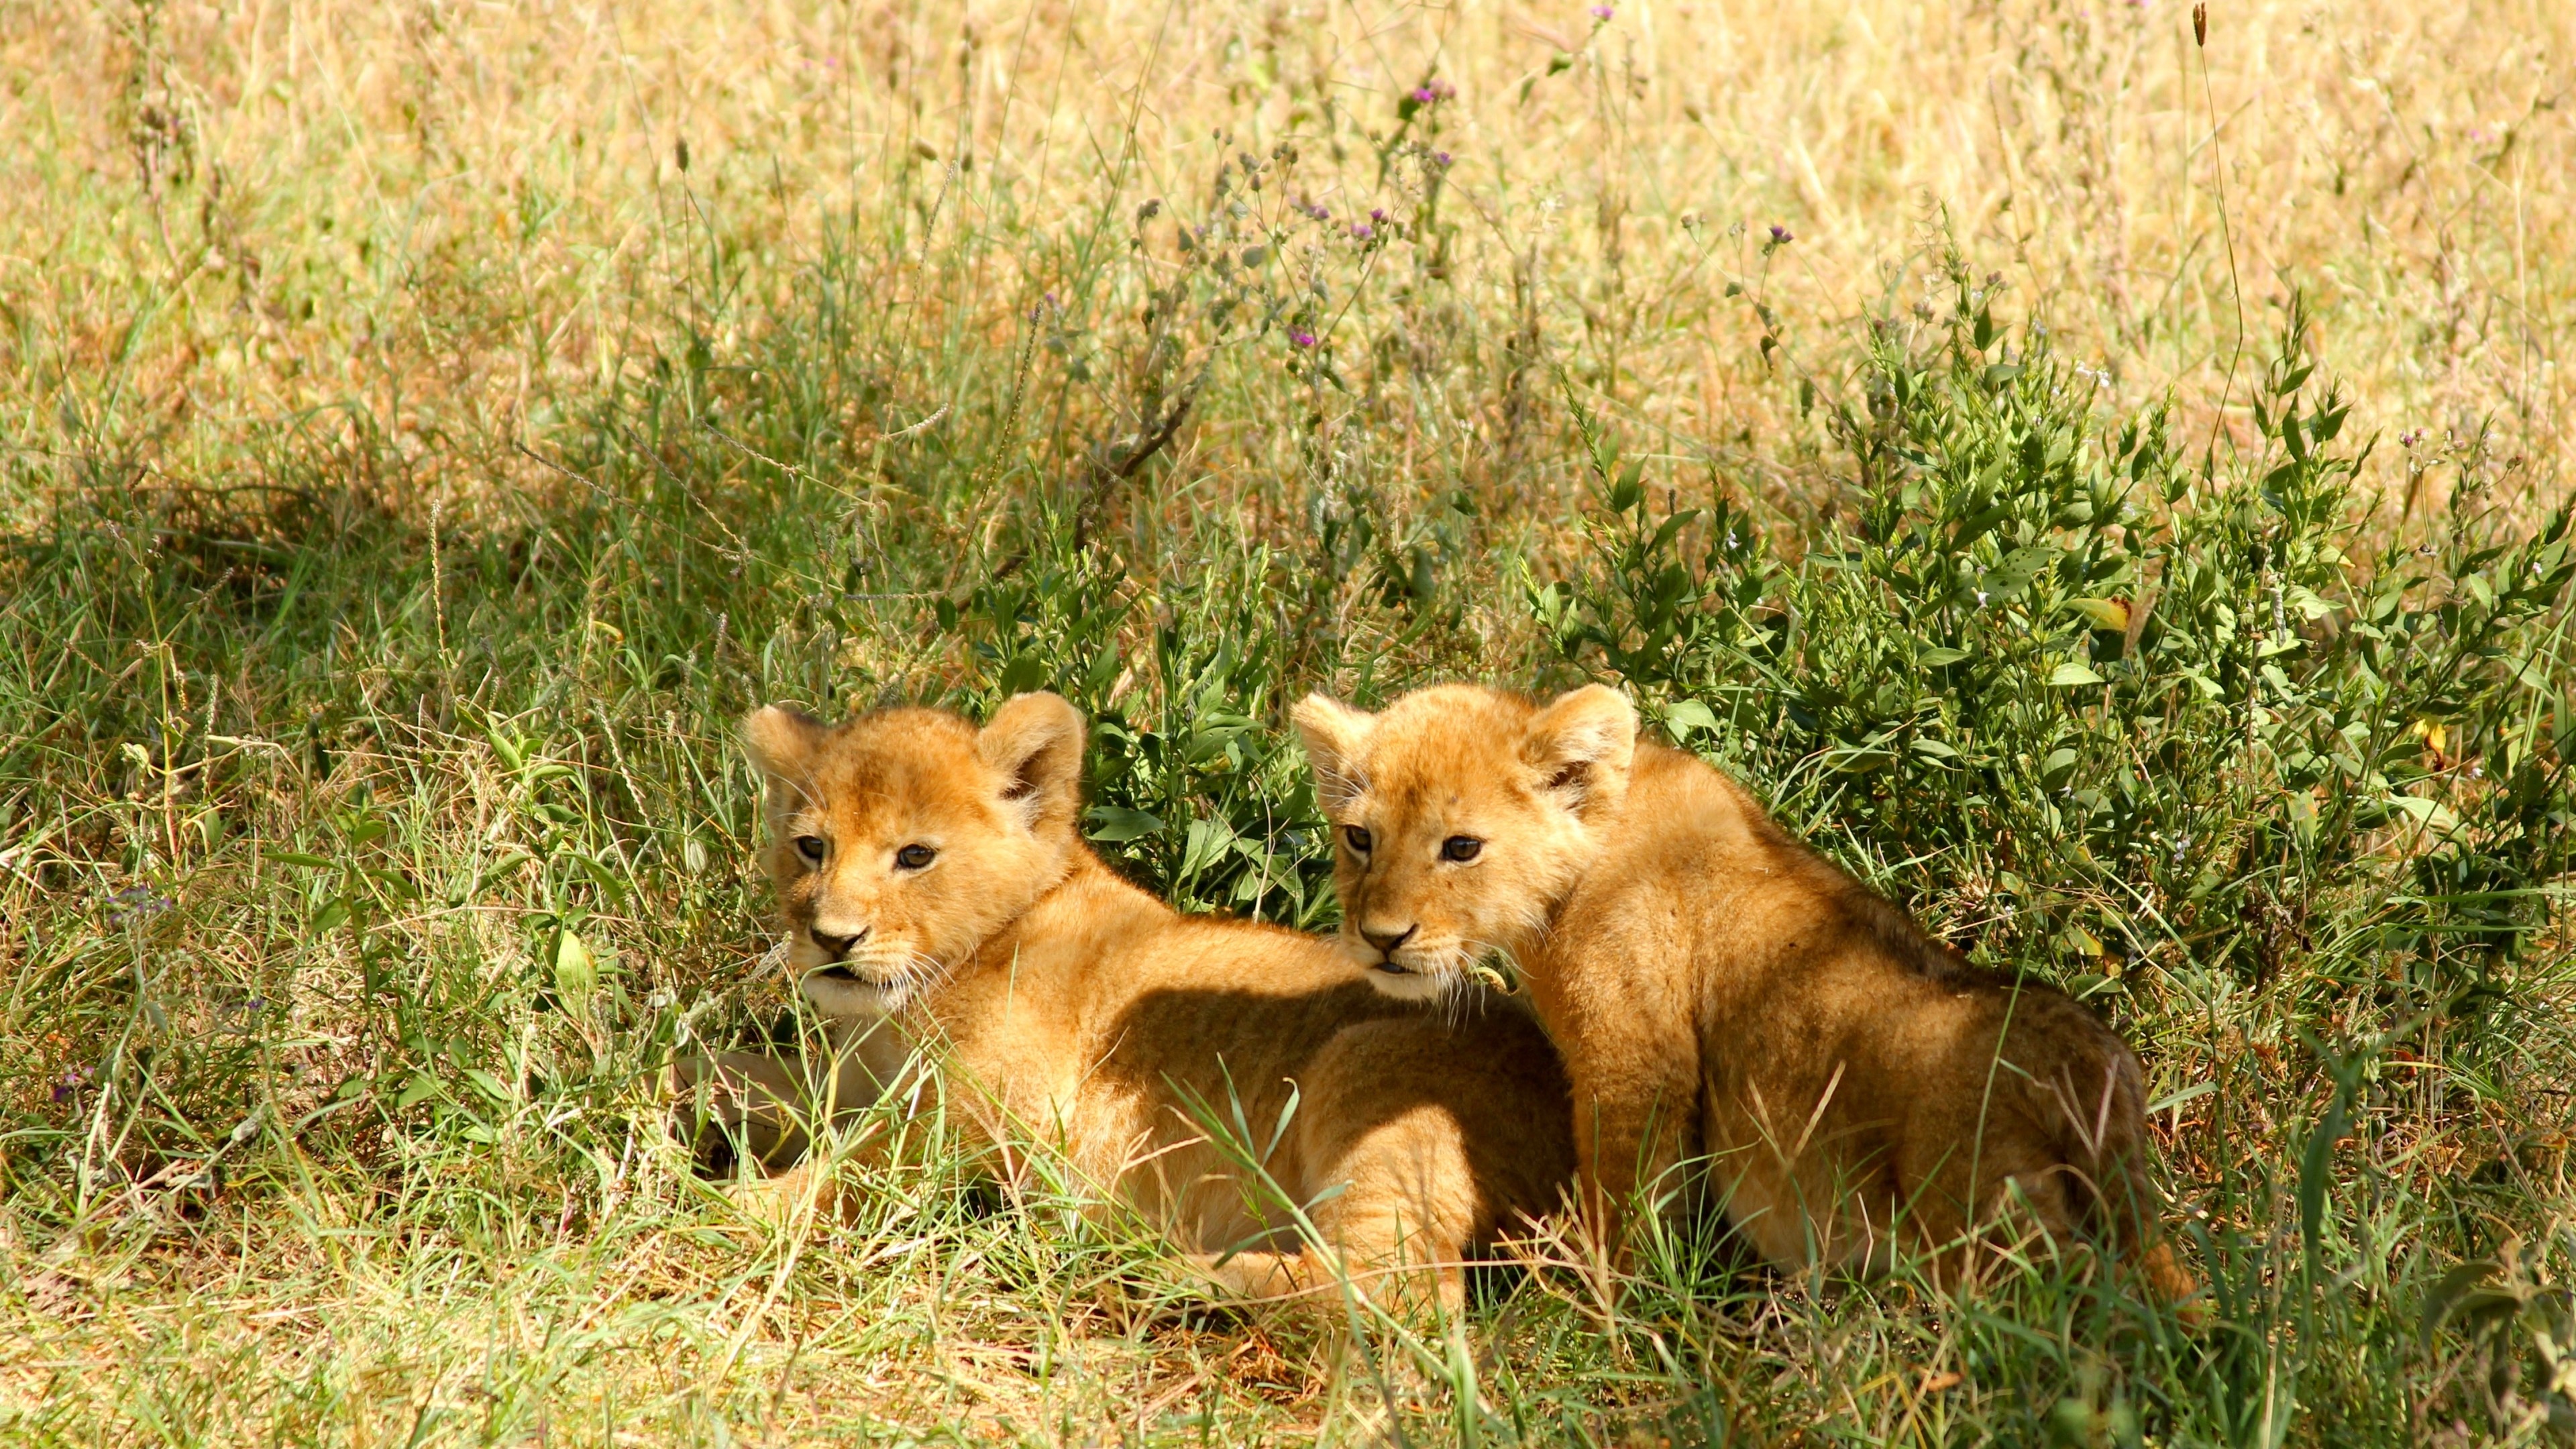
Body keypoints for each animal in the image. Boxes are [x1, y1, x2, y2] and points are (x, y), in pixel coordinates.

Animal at [676, 691, 1575, 1314]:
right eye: (811, 847)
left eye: (915, 857)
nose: (831, 939)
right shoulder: (862, 1086)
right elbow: (717, 1070)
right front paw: (663, 1102)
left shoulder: (993, 1127)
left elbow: (850, 1175)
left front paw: (717, 1207)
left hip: (1370, 1076)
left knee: (1393, 1292)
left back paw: (1154, 1269)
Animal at [1289, 682, 2194, 1300]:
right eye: (1359, 838)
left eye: (1462, 846)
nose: (1381, 937)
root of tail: (2084, 1056)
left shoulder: (1637, 1062)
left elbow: (1627, 1194)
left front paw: (1604, 1300)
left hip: (1987, 1226)